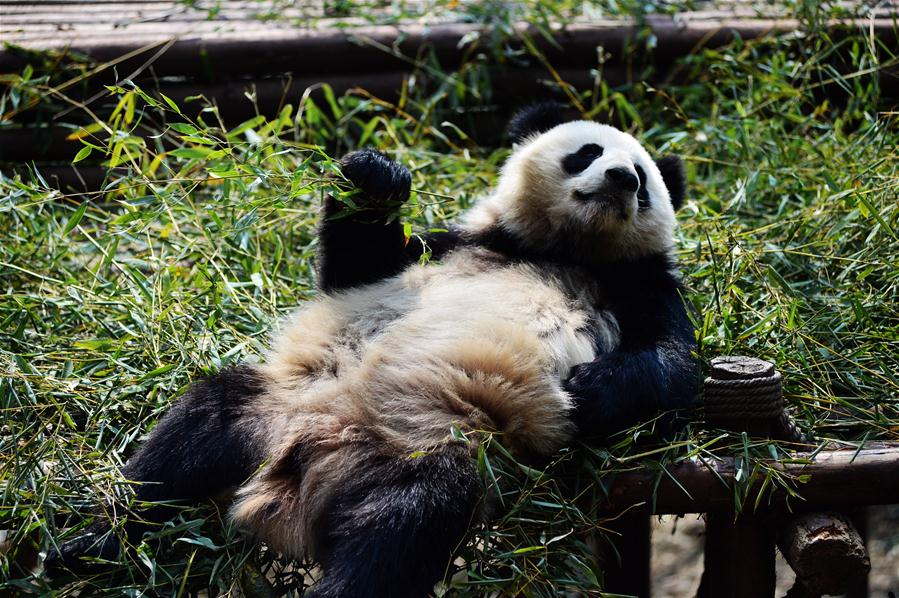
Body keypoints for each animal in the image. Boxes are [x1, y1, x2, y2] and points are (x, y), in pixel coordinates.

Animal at [45, 105, 700, 596]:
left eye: (643, 177)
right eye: (587, 152)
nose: (622, 181)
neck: (563, 248)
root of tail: (299, 470)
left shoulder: (639, 283)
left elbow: (673, 364)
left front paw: (591, 389)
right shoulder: (456, 244)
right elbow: (355, 269)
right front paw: (376, 174)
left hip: (427, 446)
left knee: (403, 527)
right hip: (277, 404)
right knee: (191, 437)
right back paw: (90, 545)